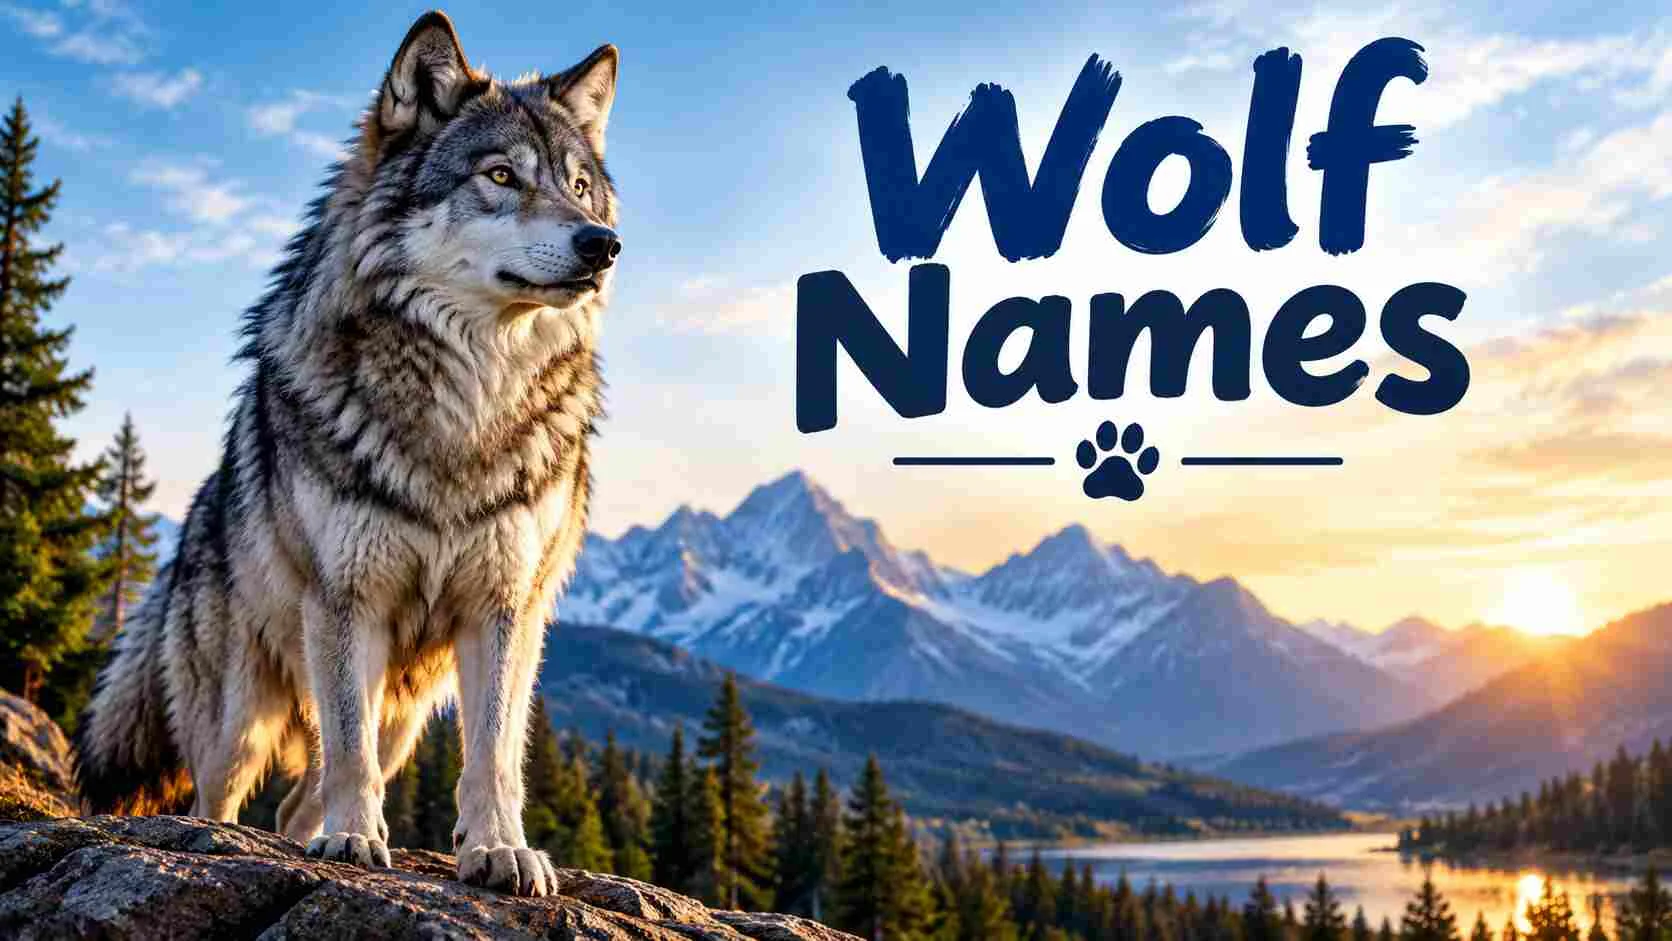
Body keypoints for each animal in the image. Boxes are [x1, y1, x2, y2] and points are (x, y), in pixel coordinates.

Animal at [75, 11, 621, 897]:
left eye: (578, 186)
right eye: (502, 175)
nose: (602, 243)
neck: (468, 396)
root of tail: (191, 522)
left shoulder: (504, 609)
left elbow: (493, 759)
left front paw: (499, 850)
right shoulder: (345, 602)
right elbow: (349, 753)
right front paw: (357, 838)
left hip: (406, 713)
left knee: (303, 797)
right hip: (239, 715)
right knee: (221, 795)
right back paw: (240, 839)